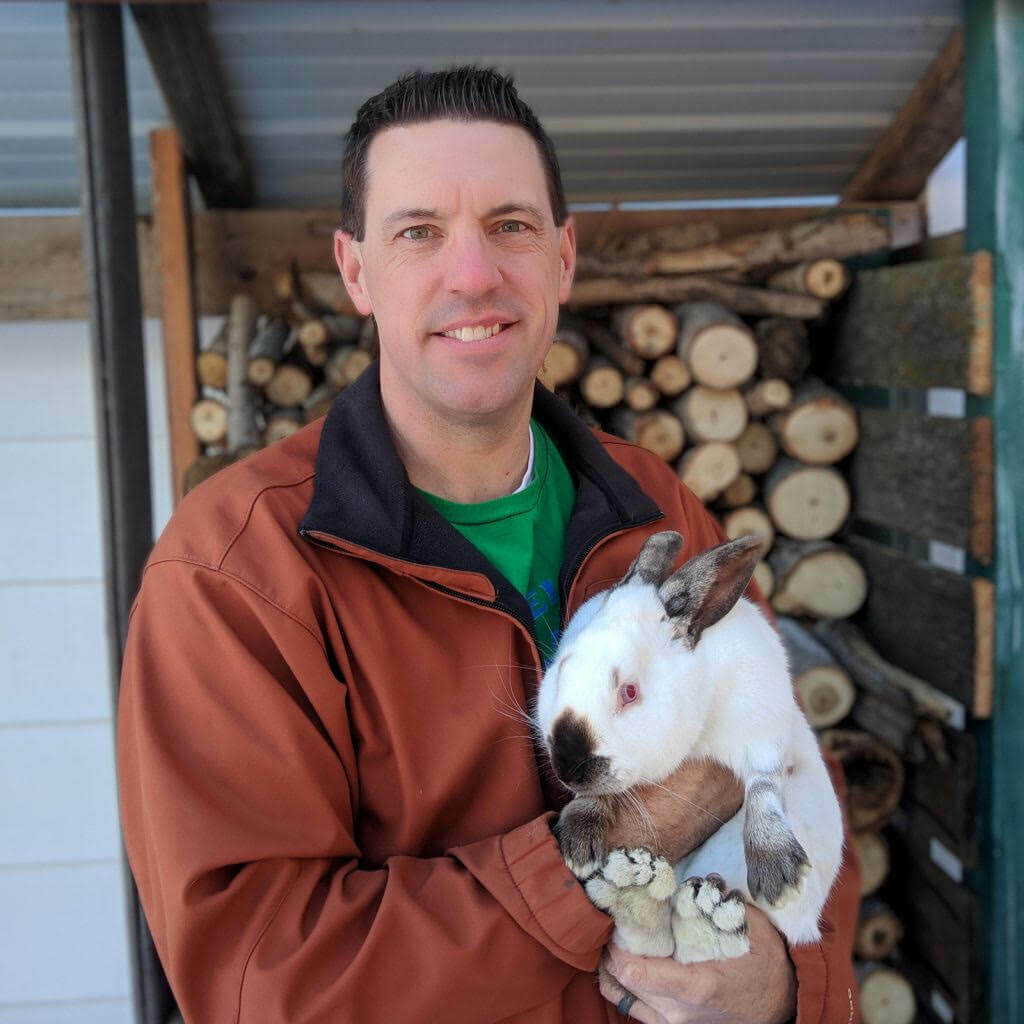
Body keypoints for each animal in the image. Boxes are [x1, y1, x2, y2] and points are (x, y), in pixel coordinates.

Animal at [532, 532, 843, 962]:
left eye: (629, 692)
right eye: (562, 667)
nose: (566, 765)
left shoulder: (764, 727)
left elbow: (764, 786)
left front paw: (779, 873)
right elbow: (601, 793)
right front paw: (578, 841)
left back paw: (707, 918)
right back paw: (637, 891)